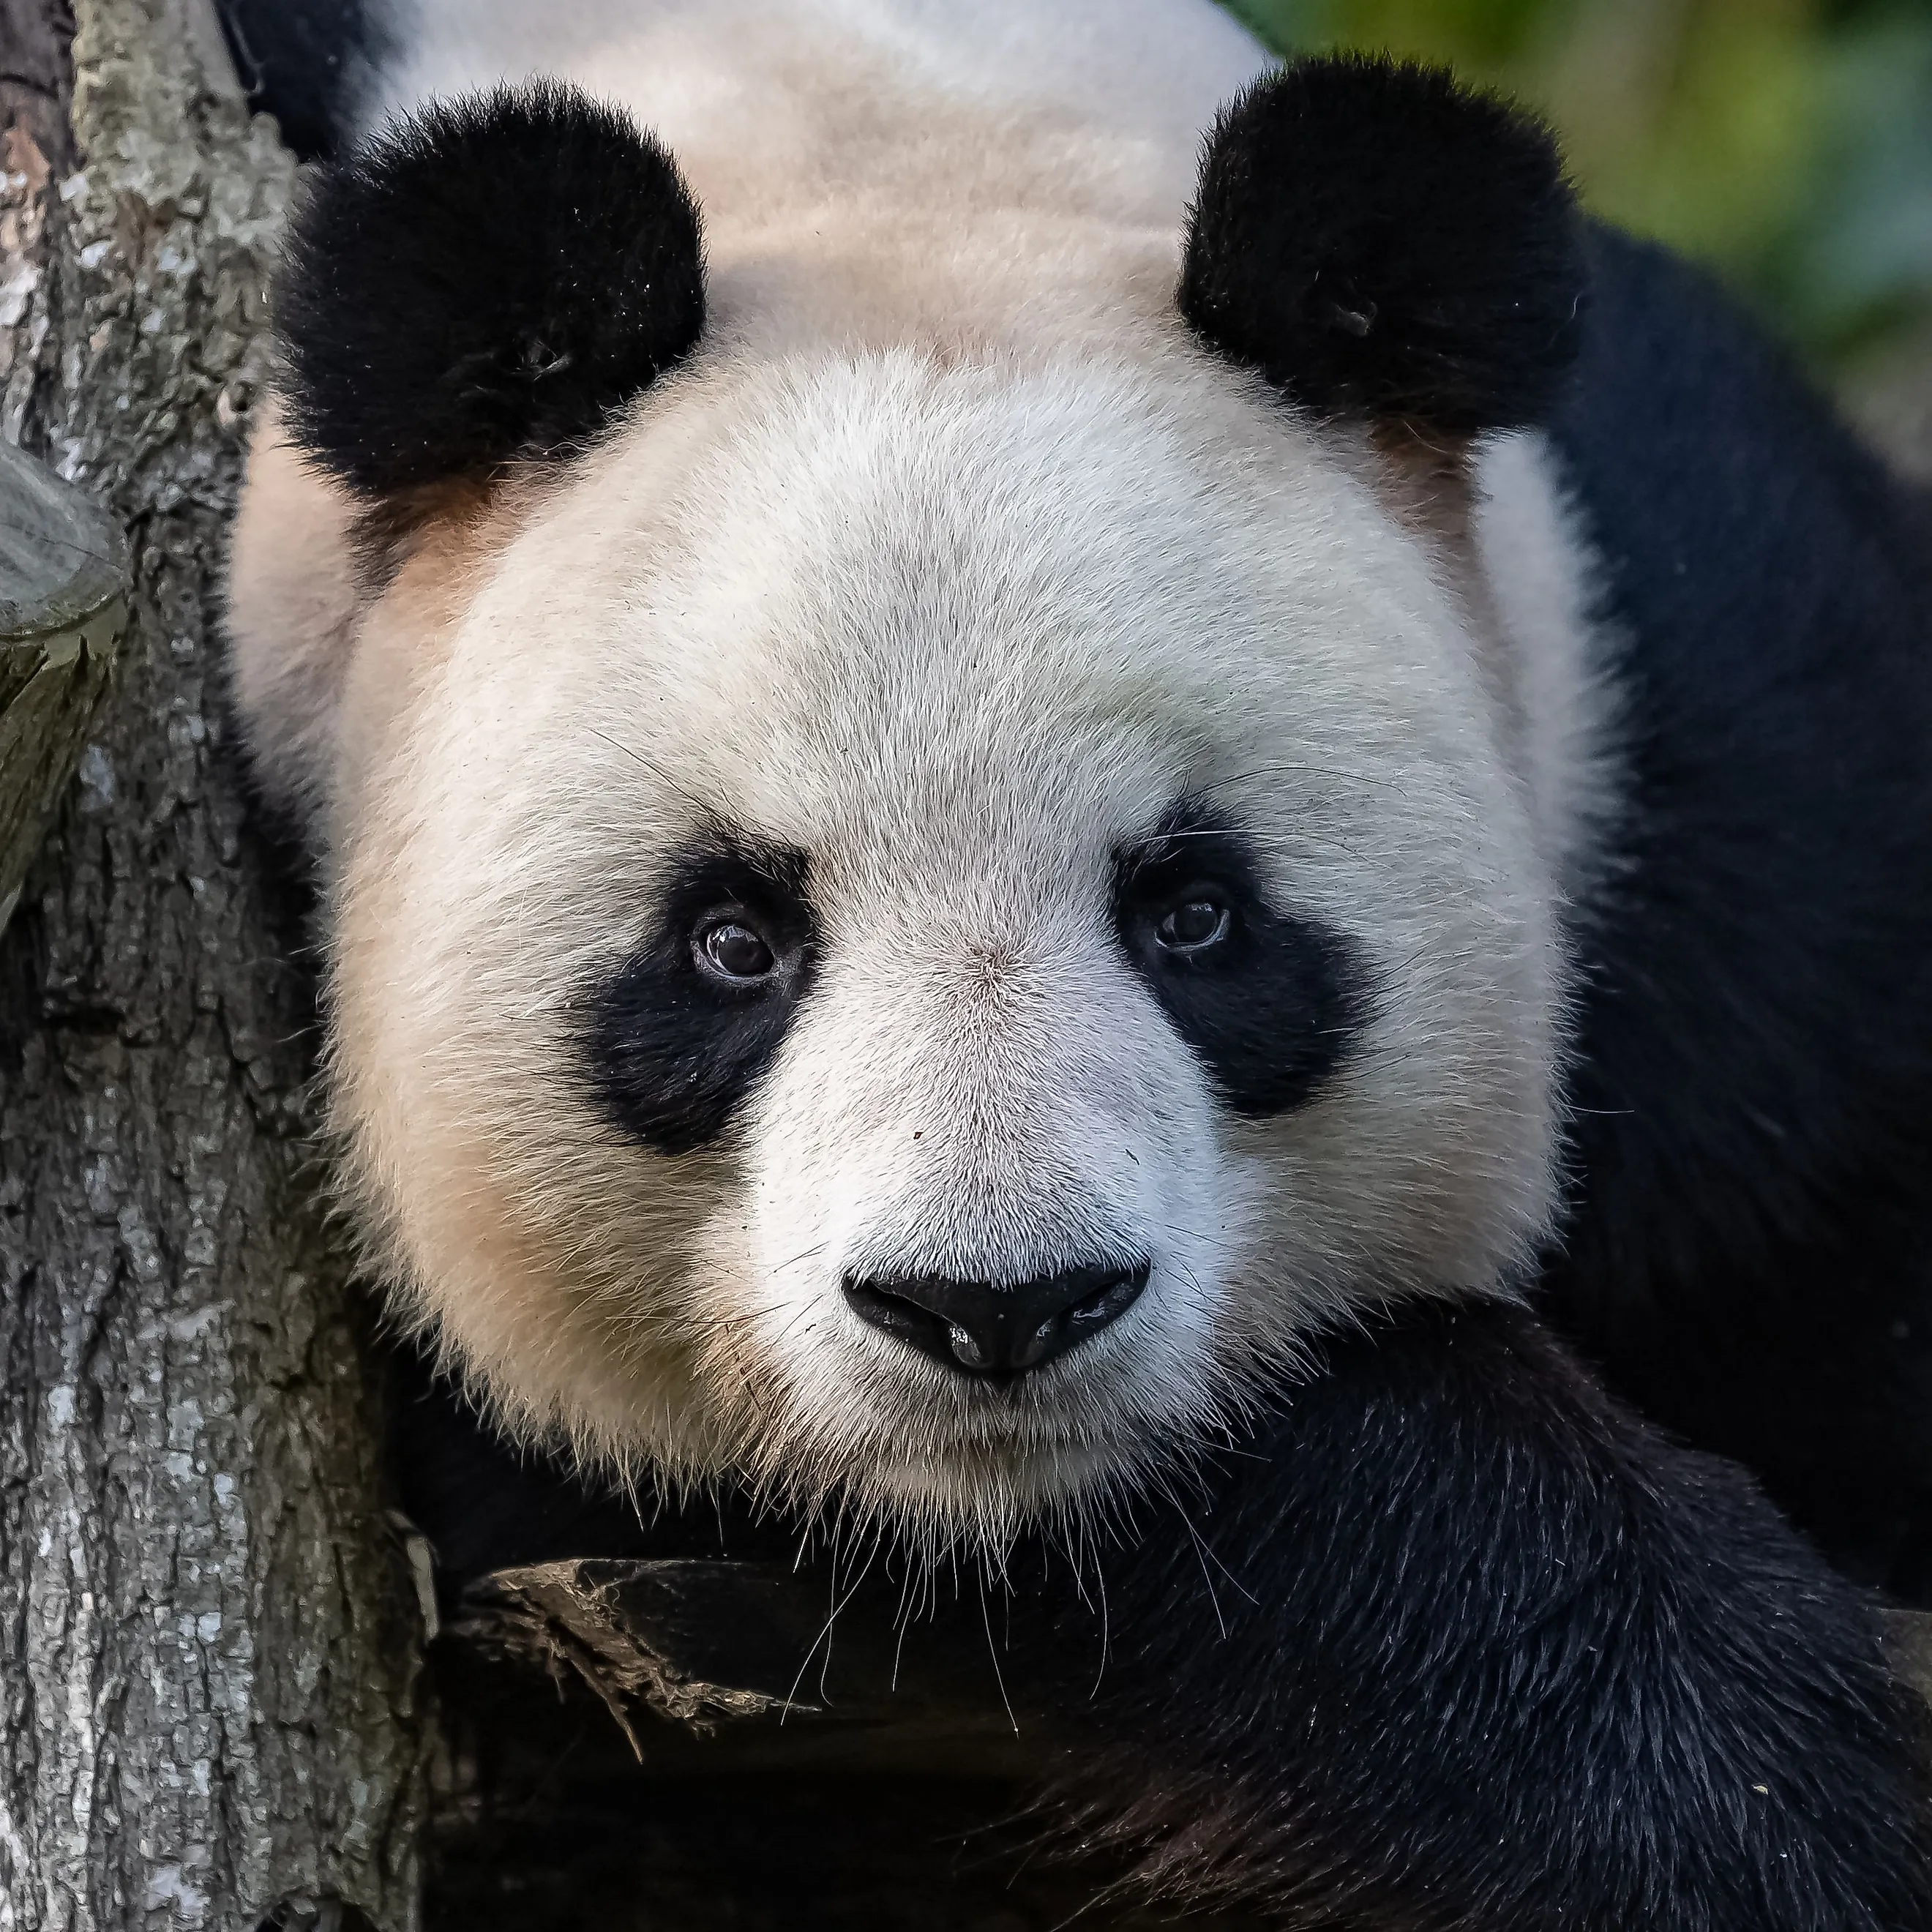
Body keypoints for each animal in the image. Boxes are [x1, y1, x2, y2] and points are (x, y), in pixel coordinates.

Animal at [219, 0, 1932, 1922]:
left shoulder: (1739, 787)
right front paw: (1718, 1773)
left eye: (1193, 912)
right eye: (733, 942)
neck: (903, 127)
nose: (996, 1308)